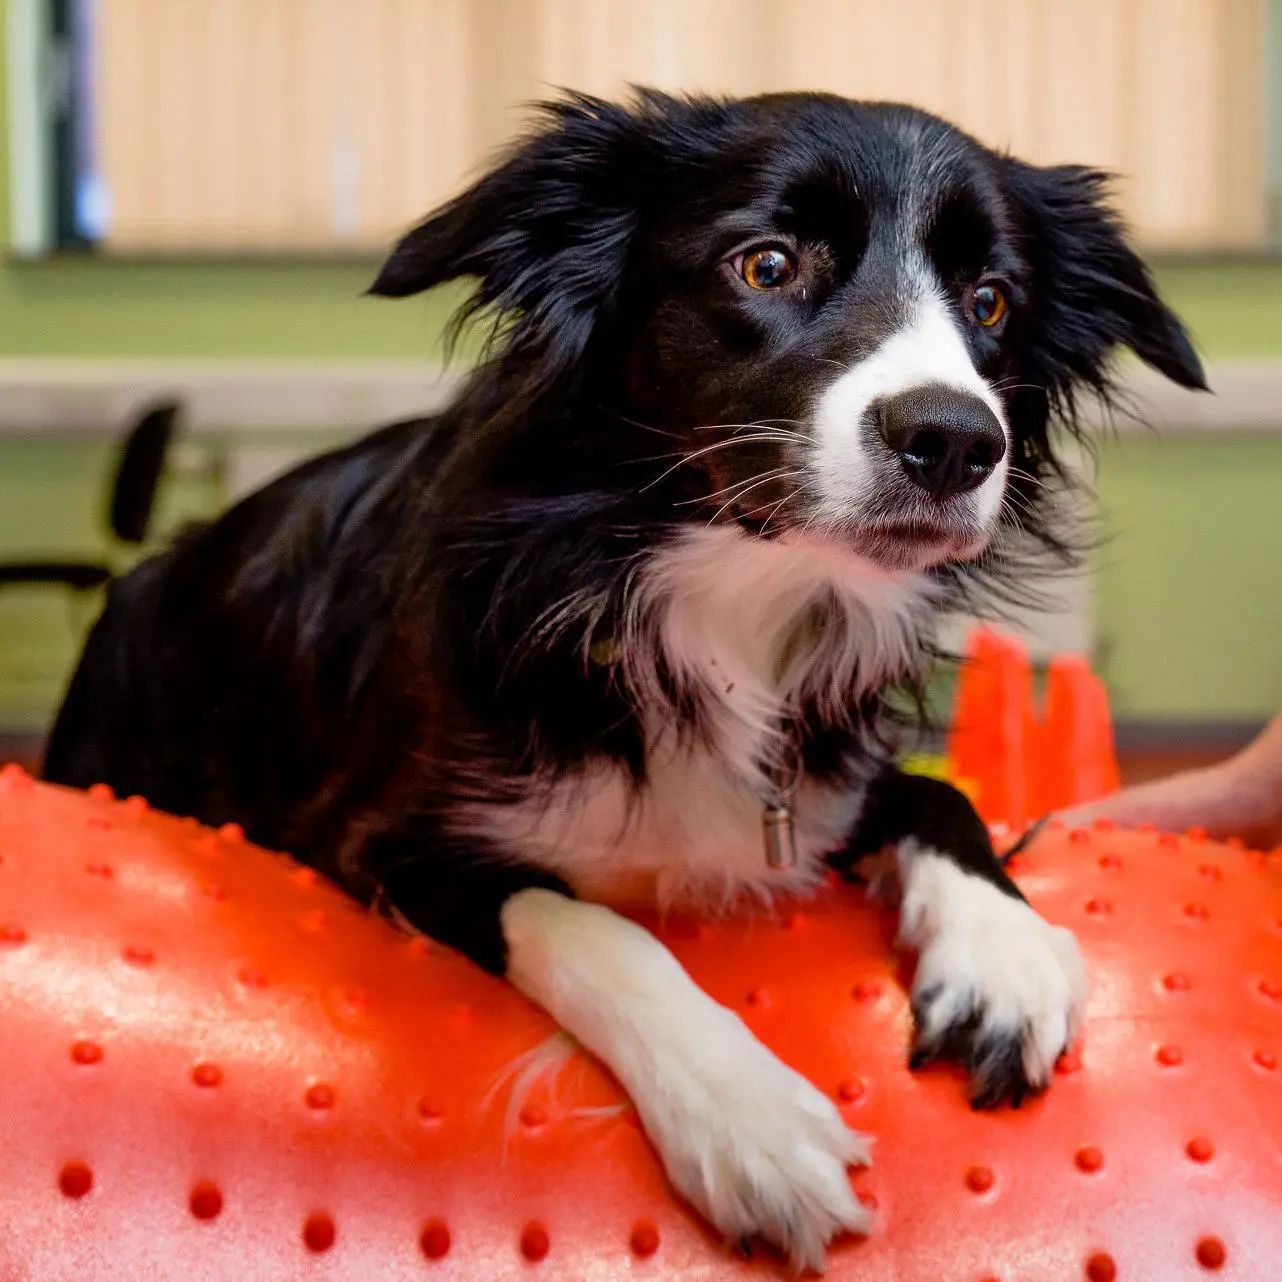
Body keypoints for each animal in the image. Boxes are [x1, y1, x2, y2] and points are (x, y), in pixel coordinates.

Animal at [45, 92, 1205, 1271]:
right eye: (765, 264)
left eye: (990, 301)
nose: (955, 439)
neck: (729, 601)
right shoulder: (377, 834)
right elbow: (595, 926)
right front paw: (746, 1114)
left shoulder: (818, 774)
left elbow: (942, 797)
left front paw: (1001, 952)